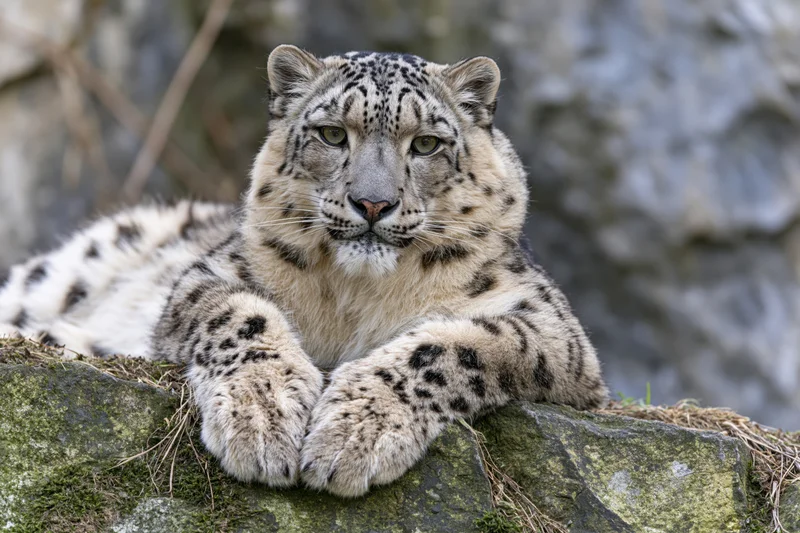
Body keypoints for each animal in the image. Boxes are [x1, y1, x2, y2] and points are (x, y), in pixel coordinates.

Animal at [0, 45, 608, 497]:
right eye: (333, 134)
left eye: (427, 143)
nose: (372, 203)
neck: (358, 297)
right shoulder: (212, 274)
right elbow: (240, 319)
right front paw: (262, 421)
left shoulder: (550, 325)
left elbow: (451, 347)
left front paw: (353, 436)